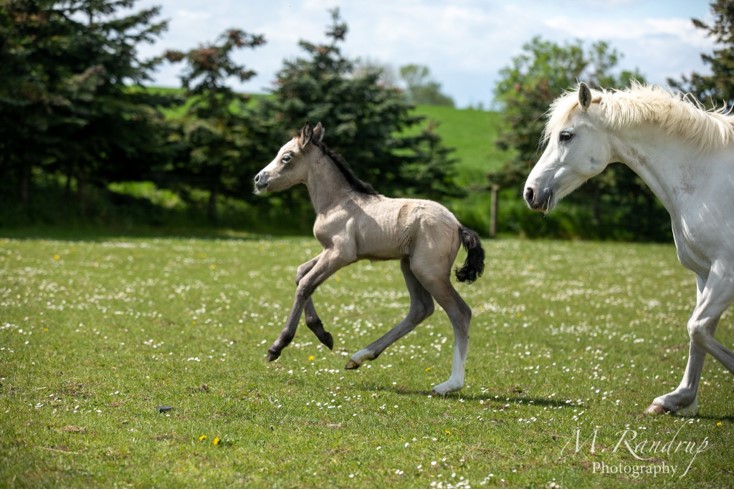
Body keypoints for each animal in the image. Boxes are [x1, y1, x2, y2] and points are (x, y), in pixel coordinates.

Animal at [256, 122, 486, 394]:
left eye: (287, 157)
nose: (258, 179)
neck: (337, 202)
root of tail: (458, 225)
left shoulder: (340, 253)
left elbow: (305, 284)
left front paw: (277, 346)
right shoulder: (328, 249)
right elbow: (301, 272)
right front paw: (323, 333)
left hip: (429, 272)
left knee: (460, 313)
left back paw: (450, 384)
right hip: (408, 266)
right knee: (421, 308)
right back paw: (359, 358)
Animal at [528, 82, 732, 416]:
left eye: (566, 136)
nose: (530, 192)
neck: (708, 179)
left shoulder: (726, 273)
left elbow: (698, 328)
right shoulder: (705, 273)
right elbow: (699, 332)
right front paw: (678, 399)